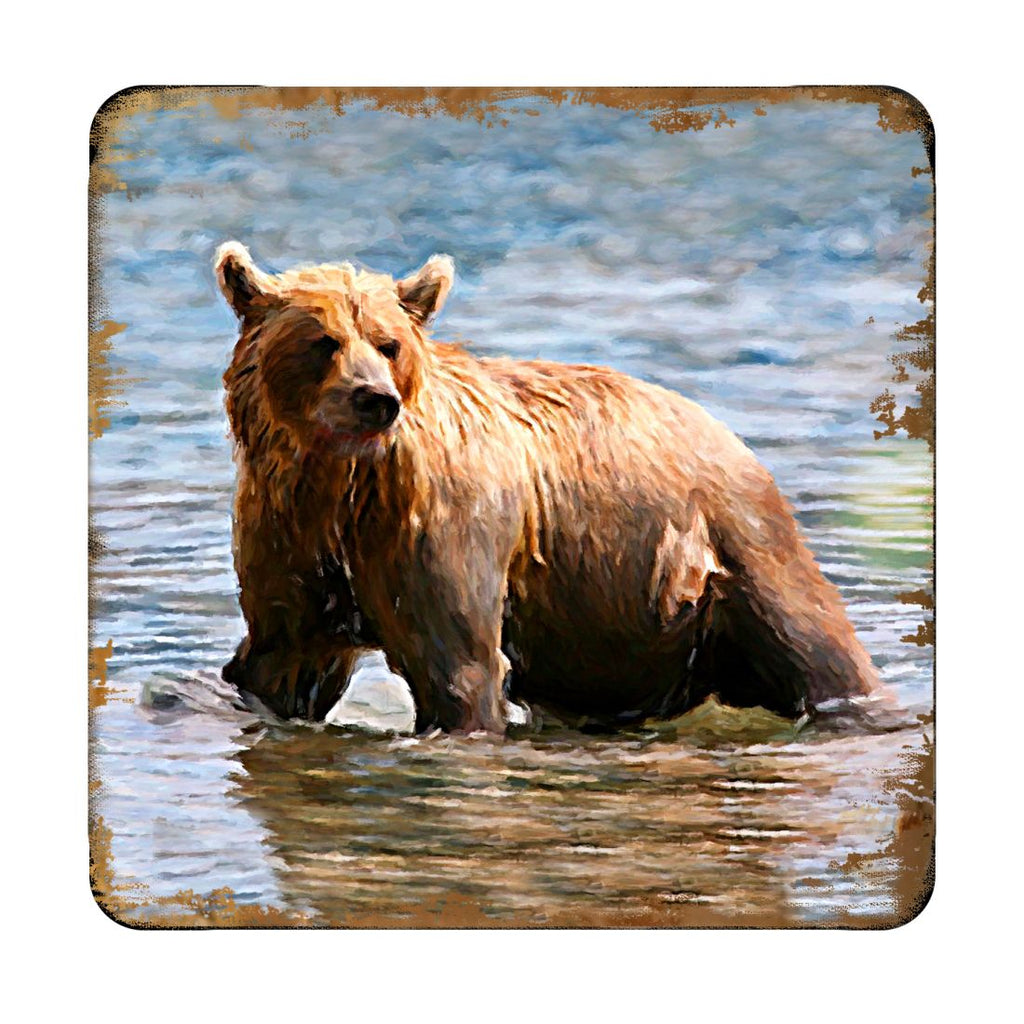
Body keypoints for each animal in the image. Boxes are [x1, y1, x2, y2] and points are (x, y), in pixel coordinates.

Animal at [216, 242, 879, 734]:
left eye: (388, 343)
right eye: (323, 342)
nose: (375, 399)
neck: (341, 481)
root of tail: (726, 432)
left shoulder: (436, 526)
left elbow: (457, 666)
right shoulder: (290, 529)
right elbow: (283, 657)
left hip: (731, 546)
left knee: (815, 648)